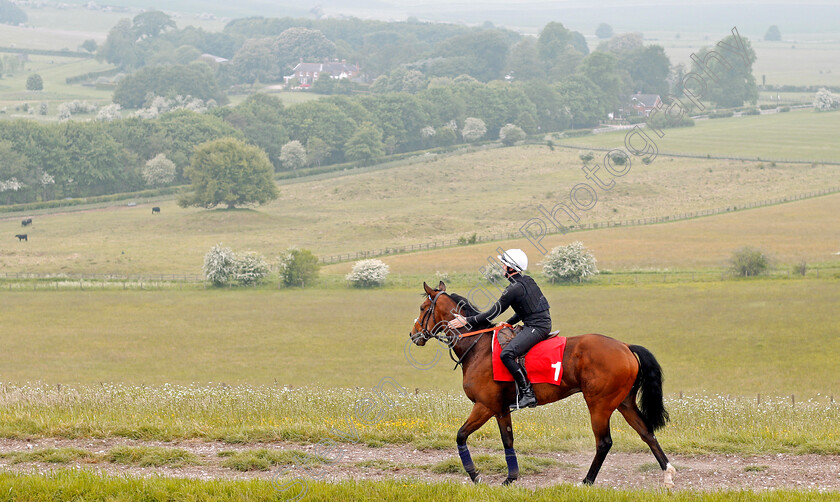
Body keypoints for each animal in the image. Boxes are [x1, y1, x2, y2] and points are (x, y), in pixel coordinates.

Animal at [406, 284, 676, 488]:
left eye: (422, 308)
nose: (413, 335)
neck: (478, 347)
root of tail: (625, 346)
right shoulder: (500, 409)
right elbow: (508, 441)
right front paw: (511, 478)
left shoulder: (484, 406)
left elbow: (461, 435)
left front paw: (475, 475)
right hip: (623, 403)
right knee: (646, 432)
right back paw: (668, 473)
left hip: (599, 405)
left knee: (604, 442)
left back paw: (587, 481)